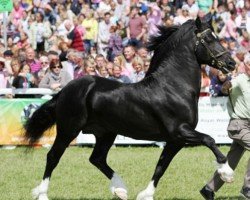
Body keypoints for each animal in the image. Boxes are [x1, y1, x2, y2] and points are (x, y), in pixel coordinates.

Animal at [24, 15, 236, 200]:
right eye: (208, 39)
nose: (231, 63)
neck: (173, 87)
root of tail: (66, 89)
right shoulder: (181, 131)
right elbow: (209, 139)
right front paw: (227, 172)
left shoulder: (175, 140)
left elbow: (161, 166)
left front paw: (145, 195)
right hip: (69, 129)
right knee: (53, 156)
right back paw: (42, 194)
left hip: (106, 133)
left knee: (97, 158)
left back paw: (120, 190)